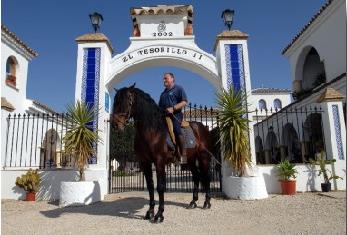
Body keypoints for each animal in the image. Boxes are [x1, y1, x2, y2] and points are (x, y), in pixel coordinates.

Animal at [113, 84, 213, 222]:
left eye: (128, 101)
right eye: (115, 102)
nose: (115, 124)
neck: (152, 130)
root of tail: (202, 127)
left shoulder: (159, 161)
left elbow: (160, 187)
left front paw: (159, 214)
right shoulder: (145, 162)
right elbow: (150, 186)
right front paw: (149, 212)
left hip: (204, 157)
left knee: (206, 176)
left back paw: (206, 202)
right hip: (190, 159)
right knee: (196, 176)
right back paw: (193, 202)